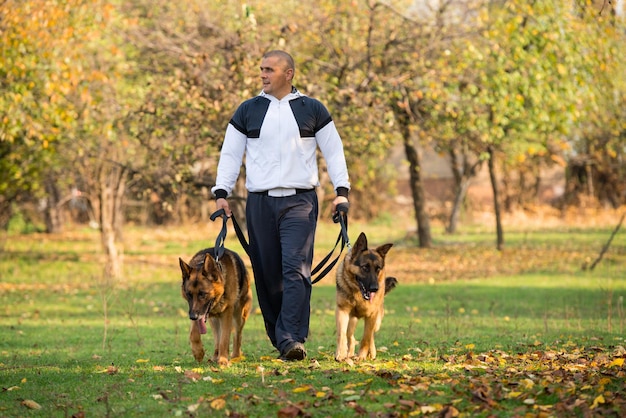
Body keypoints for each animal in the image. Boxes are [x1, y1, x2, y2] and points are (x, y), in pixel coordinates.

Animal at [334, 232, 398, 362]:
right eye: (365, 267)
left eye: (378, 269)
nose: (375, 288)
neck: (358, 294)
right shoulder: (342, 311)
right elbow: (341, 334)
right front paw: (341, 354)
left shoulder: (372, 315)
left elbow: (366, 337)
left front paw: (362, 356)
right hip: (352, 321)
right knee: (350, 337)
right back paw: (350, 354)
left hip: (376, 321)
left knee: (371, 335)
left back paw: (371, 352)